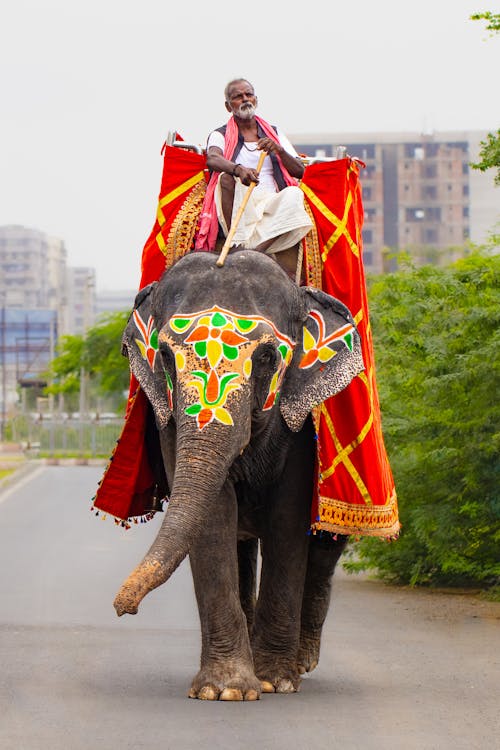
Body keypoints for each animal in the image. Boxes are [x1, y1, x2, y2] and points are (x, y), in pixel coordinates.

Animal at [113, 250, 364, 704]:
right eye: (165, 358)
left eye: (266, 358)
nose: (124, 607)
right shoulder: (169, 422)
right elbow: (214, 520)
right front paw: (226, 689)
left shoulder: (301, 420)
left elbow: (288, 518)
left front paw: (275, 681)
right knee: (240, 544)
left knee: (326, 544)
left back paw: (302, 662)